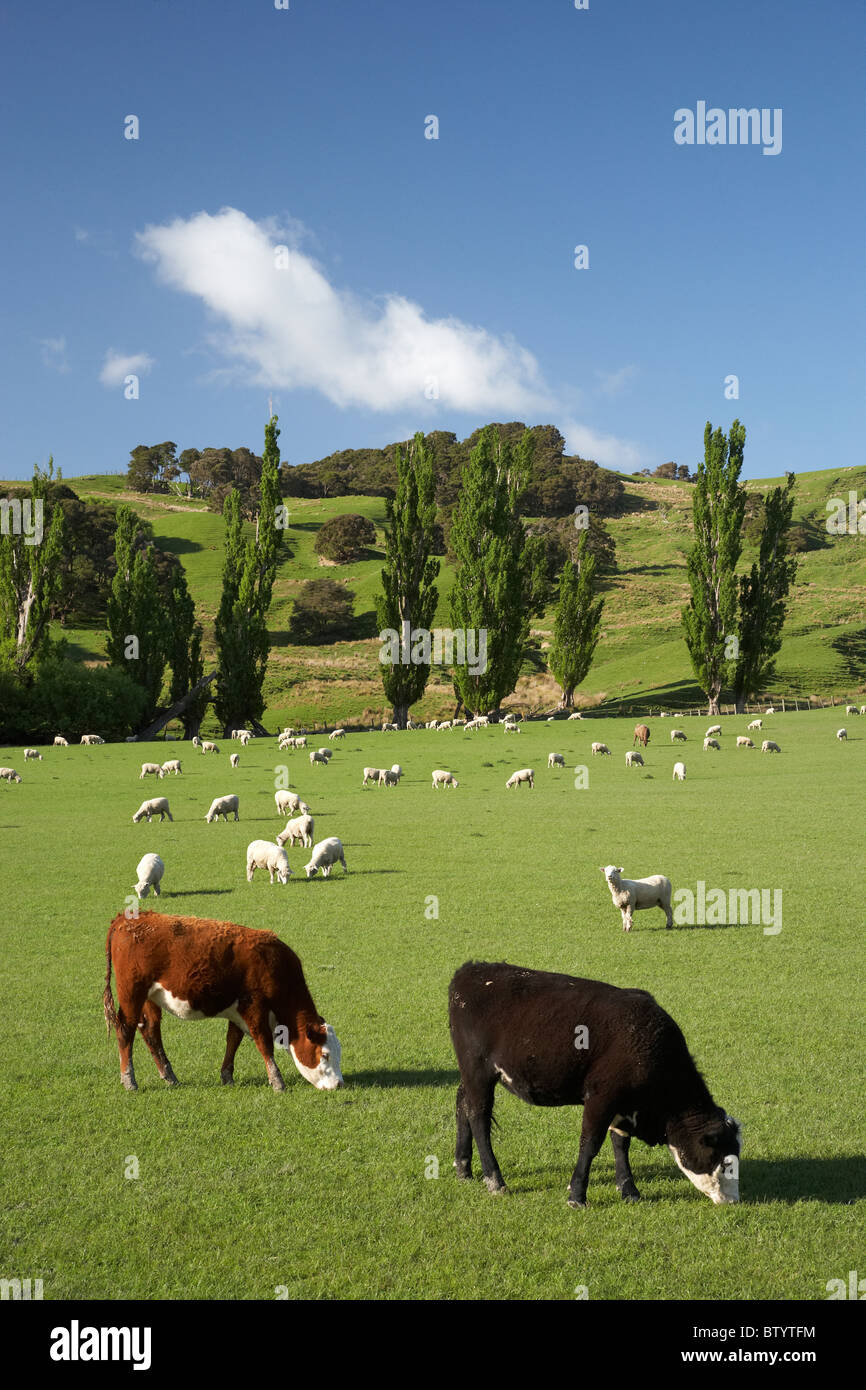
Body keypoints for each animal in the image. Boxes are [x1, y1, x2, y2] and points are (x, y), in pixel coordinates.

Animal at [103, 913, 343, 1094]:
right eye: (324, 1055)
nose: (339, 1084)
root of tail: (127, 919)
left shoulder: (238, 1012)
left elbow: (233, 1040)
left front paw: (227, 1076)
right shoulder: (254, 1007)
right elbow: (264, 1044)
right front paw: (277, 1082)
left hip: (149, 998)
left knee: (150, 1031)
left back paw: (169, 1076)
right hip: (132, 993)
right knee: (126, 1030)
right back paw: (129, 1080)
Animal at [449, 961, 740, 1208]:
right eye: (725, 1164)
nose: (734, 1201)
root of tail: (472, 970)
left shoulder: (623, 1106)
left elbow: (620, 1145)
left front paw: (629, 1191)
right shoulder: (601, 1098)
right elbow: (590, 1144)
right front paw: (577, 1196)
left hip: (469, 1075)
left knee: (462, 1105)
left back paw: (463, 1168)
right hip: (478, 1072)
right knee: (479, 1118)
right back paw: (495, 1180)